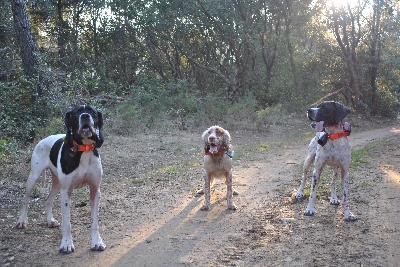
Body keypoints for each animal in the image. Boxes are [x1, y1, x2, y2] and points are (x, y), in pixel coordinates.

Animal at [16, 104, 106, 253]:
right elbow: (67, 223)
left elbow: (95, 222)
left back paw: (50, 221)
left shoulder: (95, 190)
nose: (85, 116)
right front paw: (66, 244)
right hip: (33, 177)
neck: (83, 149)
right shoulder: (66, 193)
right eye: (76, 113)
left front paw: (97, 242)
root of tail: (43, 139)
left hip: (57, 183)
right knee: (26, 199)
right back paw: (22, 221)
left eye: (92, 112)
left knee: (48, 199)